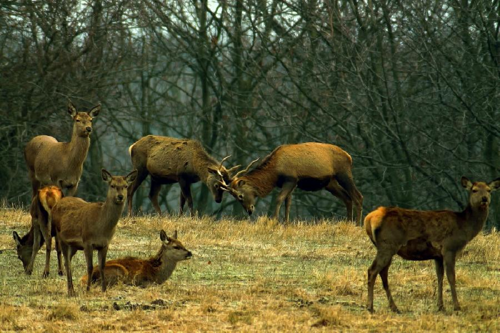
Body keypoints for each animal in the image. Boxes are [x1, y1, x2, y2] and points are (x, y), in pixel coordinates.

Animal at [223, 141, 364, 223]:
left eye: (240, 195)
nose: (249, 210)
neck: (275, 173)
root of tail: (349, 157)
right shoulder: (292, 184)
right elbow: (288, 203)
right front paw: (286, 224)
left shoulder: (291, 179)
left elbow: (279, 199)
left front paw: (274, 221)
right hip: (330, 182)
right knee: (347, 198)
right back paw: (348, 223)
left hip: (343, 174)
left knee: (357, 196)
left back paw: (357, 224)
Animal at [364, 175, 500, 312]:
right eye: (474, 190)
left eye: (489, 190)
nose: (484, 199)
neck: (464, 227)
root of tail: (369, 218)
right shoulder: (449, 248)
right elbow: (451, 277)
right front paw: (457, 306)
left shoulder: (437, 255)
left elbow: (440, 277)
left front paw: (440, 306)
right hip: (387, 245)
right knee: (372, 270)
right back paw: (370, 306)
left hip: (387, 248)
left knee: (383, 272)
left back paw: (394, 307)